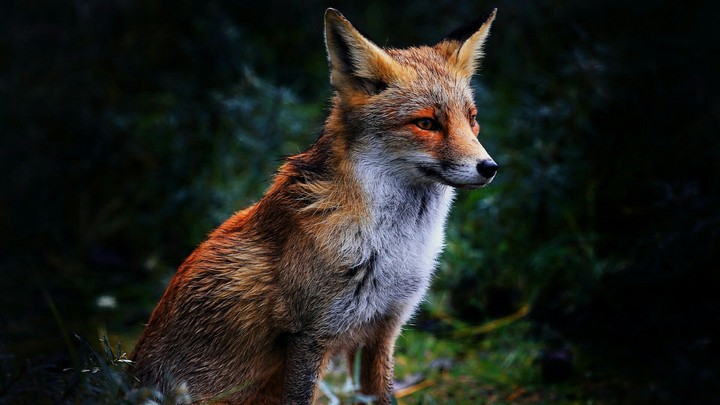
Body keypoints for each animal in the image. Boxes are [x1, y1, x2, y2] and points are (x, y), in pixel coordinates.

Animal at [130, 7, 498, 404]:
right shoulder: (309, 335)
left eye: (472, 119)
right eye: (427, 123)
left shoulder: (383, 330)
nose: (489, 167)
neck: (395, 247)